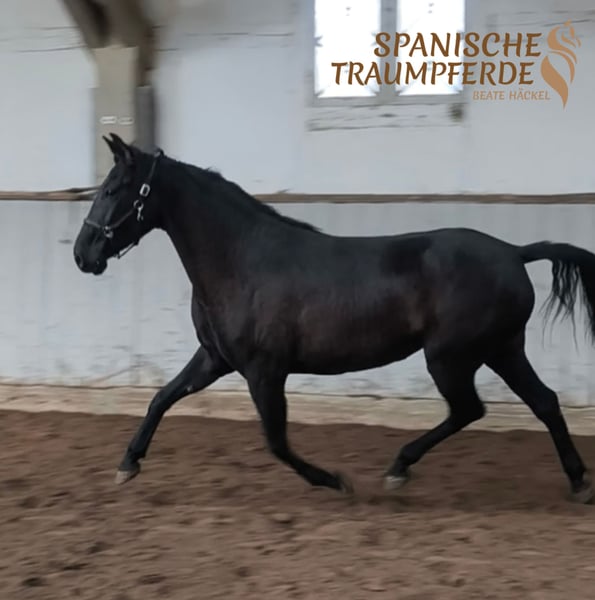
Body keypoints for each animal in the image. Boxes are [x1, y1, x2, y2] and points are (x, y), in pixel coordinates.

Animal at [73, 133, 595, 504]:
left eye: (113, 189)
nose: (82, 254)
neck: (243, 260)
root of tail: (513, 252)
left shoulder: (264, 370)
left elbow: (277, 442)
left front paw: (336, 481)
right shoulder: (214, 359)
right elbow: (161, 398)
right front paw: (127, 465)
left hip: (451, 357)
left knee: (470, 410)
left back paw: (398, 470)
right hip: (501, 349)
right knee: (544, 402)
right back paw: (577, 482)